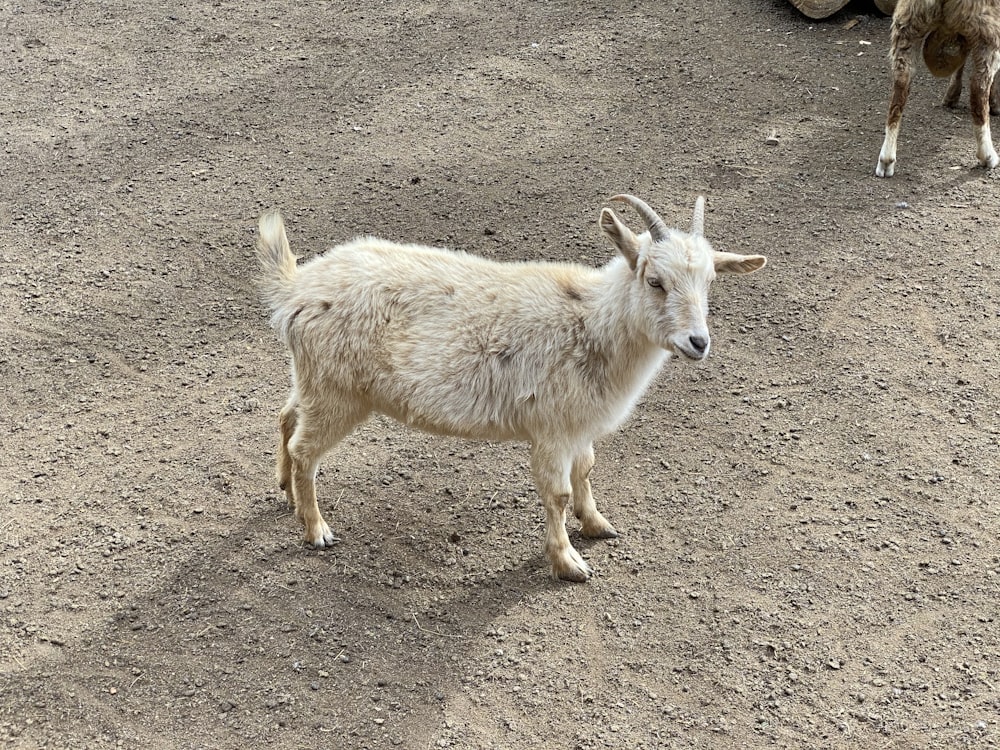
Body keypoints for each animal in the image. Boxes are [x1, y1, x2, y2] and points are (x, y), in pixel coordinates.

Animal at [258, 197, 764, 584]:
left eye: (710, 282)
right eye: (655, 281)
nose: (698, 342)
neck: (591, 323)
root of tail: (295, 289)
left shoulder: (579, 425)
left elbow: (586, 470)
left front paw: (597, 524)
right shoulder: (551, 428)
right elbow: (557, 494)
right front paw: (568, 563)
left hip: (313, 379)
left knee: (286, 417)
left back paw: (286, 492)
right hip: (337, 392)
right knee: (305, 449)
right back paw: (316, 529)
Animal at [876, 0, 1000, 178]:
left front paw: (951, 96)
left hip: (907, 25)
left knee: (898, 93)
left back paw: (886, 159)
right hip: (987, 29)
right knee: (978, 92)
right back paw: (988, 156)